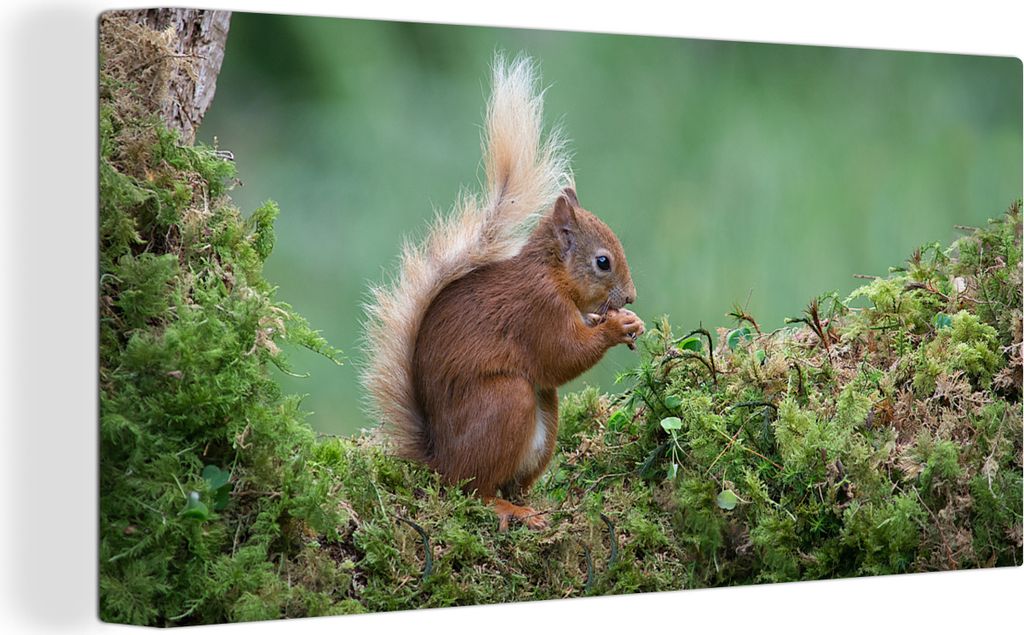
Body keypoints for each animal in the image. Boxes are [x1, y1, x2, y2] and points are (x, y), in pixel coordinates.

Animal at [362, 56, 643, 531]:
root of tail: (440, 462)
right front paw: (615, 328)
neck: (551, 274)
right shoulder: (537, 310)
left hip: (544, 419)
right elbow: (561, 355)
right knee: (474, 490)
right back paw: (507, 509)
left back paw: (534, 505)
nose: (632, 297)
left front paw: (621, 322)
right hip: (505, 402)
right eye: (603, 262)